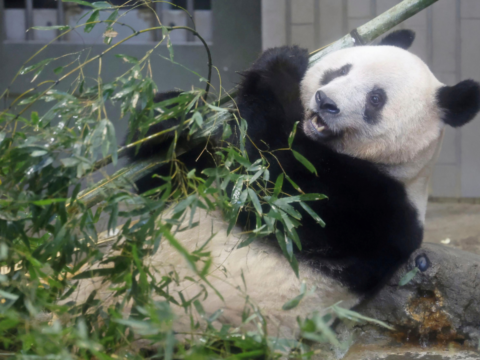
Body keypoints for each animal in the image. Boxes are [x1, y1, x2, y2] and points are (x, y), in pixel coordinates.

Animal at [71, 30, 480, 338]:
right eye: (341, 70)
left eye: (376, 98)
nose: (326, 102)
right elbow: (174, 180)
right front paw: (173, 117)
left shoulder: (375, 208)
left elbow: (275, 189)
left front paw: (282, 66)